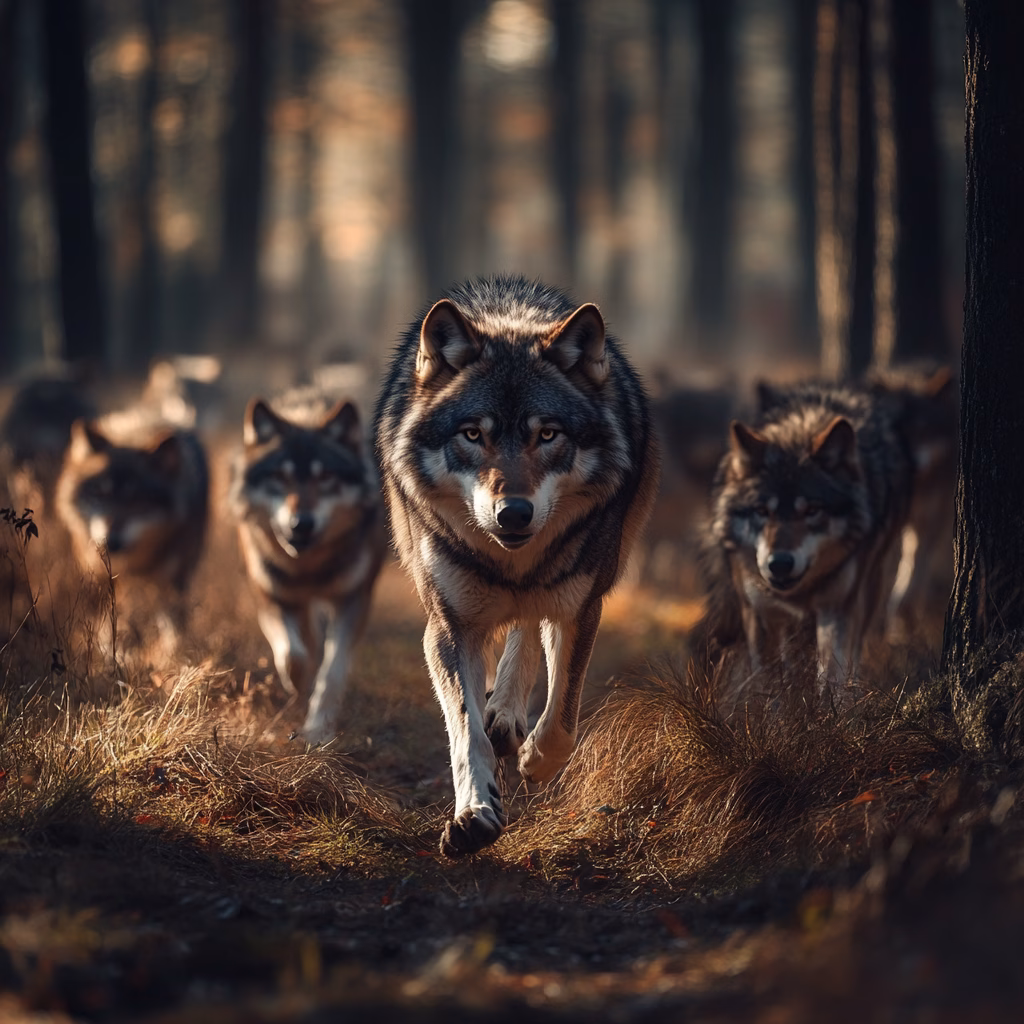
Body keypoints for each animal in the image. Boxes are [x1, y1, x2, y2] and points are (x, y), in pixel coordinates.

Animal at [230, 389, 385, 745]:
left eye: (325, 476)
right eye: (280, 476)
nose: (301, 523)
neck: (308, 566)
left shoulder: (354, 599)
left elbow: (333, 671)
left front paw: (318, 731)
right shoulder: (272, 596)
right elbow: (294, 655)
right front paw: (301, 689)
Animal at [375, 275, 660, 857]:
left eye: (546, 434)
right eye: (473, 434)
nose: (514, 513)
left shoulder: (582, 607)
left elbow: (562, 719)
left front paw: (535, 760)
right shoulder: (449, 627)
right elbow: (466, 733)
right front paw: (475, 814)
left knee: (527, 631)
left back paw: (509, 720)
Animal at [698, 382, 913, 704]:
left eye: (812, 511)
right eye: (762, 511)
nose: (780, 564)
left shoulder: (836, 608)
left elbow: (831, 677)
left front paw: (829, 714)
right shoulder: (759, 613)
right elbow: (770, 688)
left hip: (869, 587)